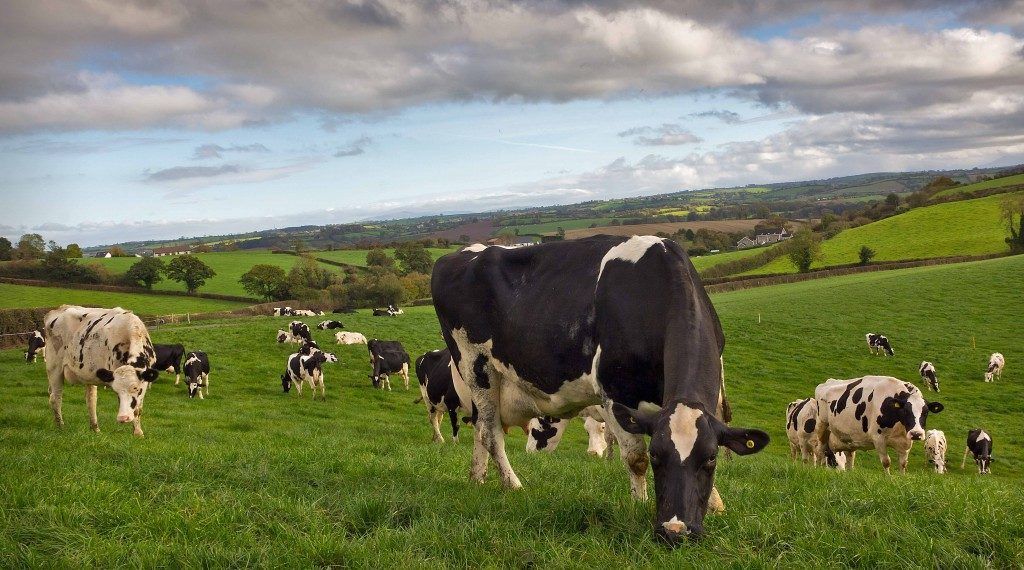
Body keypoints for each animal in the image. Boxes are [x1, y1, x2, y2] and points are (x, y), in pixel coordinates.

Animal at [43, 305, 161, 437]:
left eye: (135, 388)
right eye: (116, 391)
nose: (123, 418)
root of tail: (60, 309)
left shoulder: (145, 383)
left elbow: (138, 409)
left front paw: (138, 432)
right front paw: (137, 432)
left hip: (88, 373)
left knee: (91, 400)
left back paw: (95, 428)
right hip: (54, 367)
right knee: (56, 397)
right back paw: (60, 426)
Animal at [431, 236, 769, 545]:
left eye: (710, 458)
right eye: (657, 456)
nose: (675, 531)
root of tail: (459, 254)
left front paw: (716, 504)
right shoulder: (615, 393)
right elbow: (634, 458)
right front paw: (638, 506)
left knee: (480, 430)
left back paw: (477, 479)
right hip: (476, 365)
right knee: (490, 433)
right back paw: (512, 484)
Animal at [813, 375, 943, 474]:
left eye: (926, 412)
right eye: (905, 411)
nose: (916, 434)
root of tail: (828, 382)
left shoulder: (906, 442)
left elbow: (903, 463)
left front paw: (902, 478)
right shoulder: (878, 438)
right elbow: (886, 461)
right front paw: (888, 479)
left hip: (848, 437)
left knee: (850, 456)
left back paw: (850, 473)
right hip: (822, 425)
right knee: (820, 450)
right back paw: (818, 469)